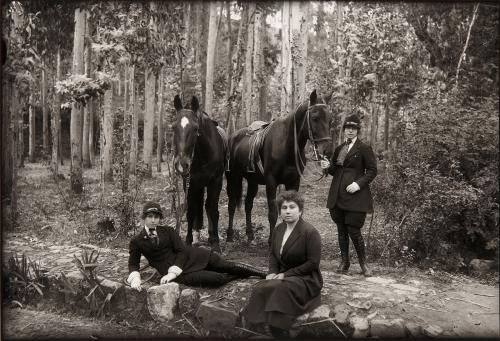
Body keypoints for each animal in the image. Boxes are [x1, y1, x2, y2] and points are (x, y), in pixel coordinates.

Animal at [172, 93, 227, 252]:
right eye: (173, 127)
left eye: (196, 128)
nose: (182, 164)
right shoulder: (189, 182)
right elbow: (191, 210)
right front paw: (188, 241)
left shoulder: (216, 181)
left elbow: (213, 209)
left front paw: (215, 243)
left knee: (208, 207)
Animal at [226, 89, 332, 243]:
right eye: (315, 118)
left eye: (330, 119)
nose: (328, 150)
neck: (287, 146)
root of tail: (231, 137)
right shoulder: (271, 181)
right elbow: (273, 213)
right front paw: (271, 240)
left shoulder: (294, 181)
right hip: (233, 177)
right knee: (232, 204)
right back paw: (229, 235)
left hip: (252, 181)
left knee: (248, 205)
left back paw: (250, 234)